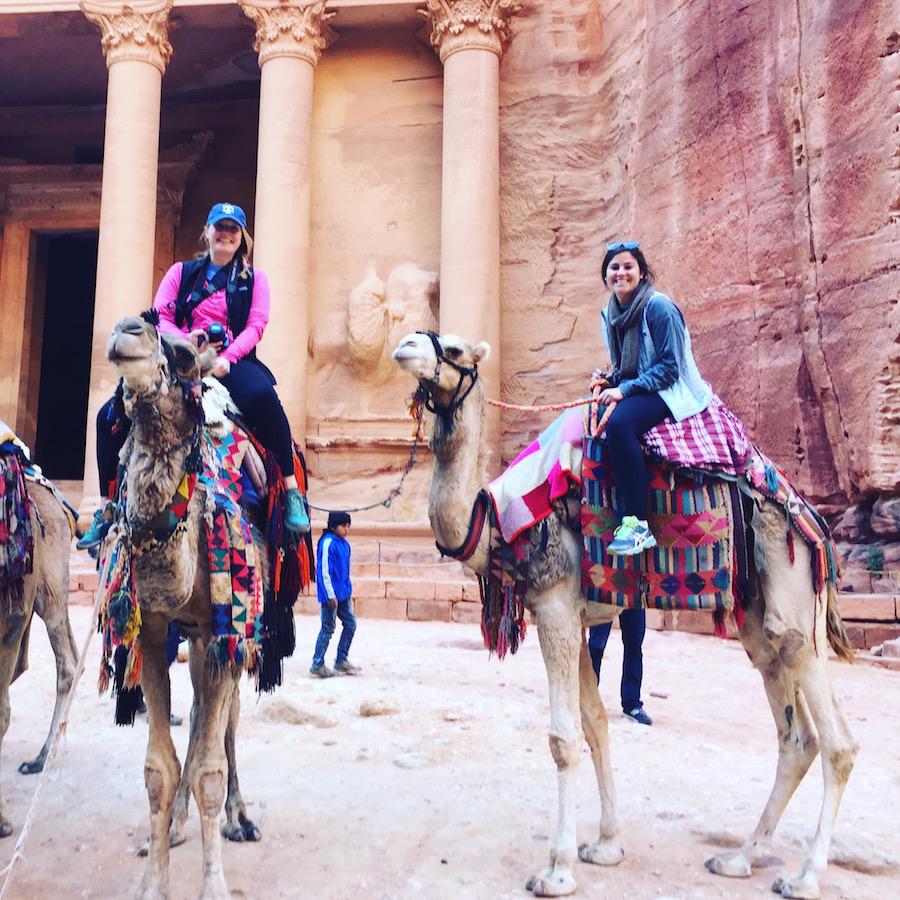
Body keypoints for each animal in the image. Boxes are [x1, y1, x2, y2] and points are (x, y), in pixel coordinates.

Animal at [105, 312, 276, 896]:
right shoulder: (153, 630)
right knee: (201, 709)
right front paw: (152, 881)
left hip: (235, 633)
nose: (126, 329)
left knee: (225, 722)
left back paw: (240, 818)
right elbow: (160, 768)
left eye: (181, 355)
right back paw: (179, 826)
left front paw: (214, 884)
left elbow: (208, 770)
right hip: (197, 637)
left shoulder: (225, 628)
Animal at [392, 332, 856, 900]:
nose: (406, 345)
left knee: (836, 738)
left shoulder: (554, 607)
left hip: (794, 591)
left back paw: (804, 875)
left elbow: (563, 739)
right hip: (754, 613)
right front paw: (606, 844)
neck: (502, 521)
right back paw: (739, 858)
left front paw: (558, 869)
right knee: (795, 734)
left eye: (455, 350)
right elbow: (595, 727)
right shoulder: (574, 616)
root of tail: (814, 524)